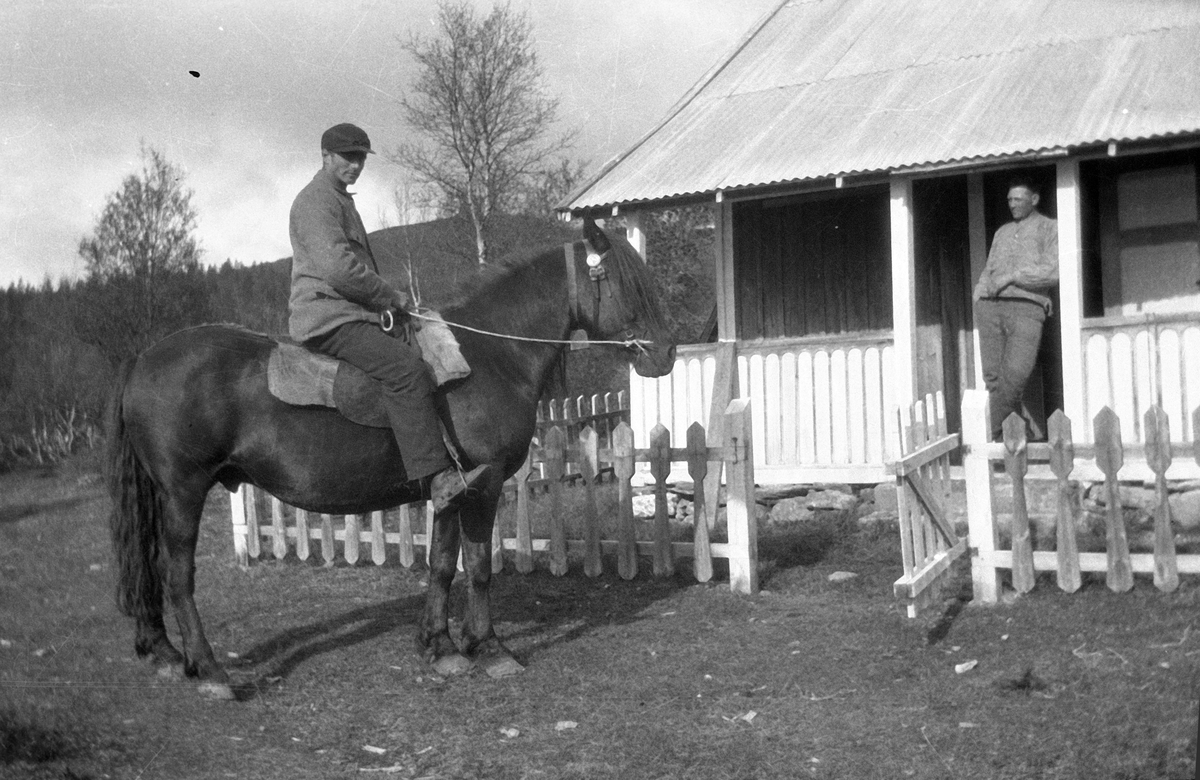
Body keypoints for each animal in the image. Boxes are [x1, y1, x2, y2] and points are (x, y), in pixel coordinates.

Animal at [108, 218, 676, 700]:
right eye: (626, 283)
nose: (667, 352)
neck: (491, 357)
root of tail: (143, 359)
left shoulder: (454, 490)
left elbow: (445, 564)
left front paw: (442, 645)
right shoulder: (486, 485)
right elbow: (475, 566)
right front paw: (488, 647)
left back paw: (163, 652)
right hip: (183, 491)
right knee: (177, 574)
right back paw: (208, 669)